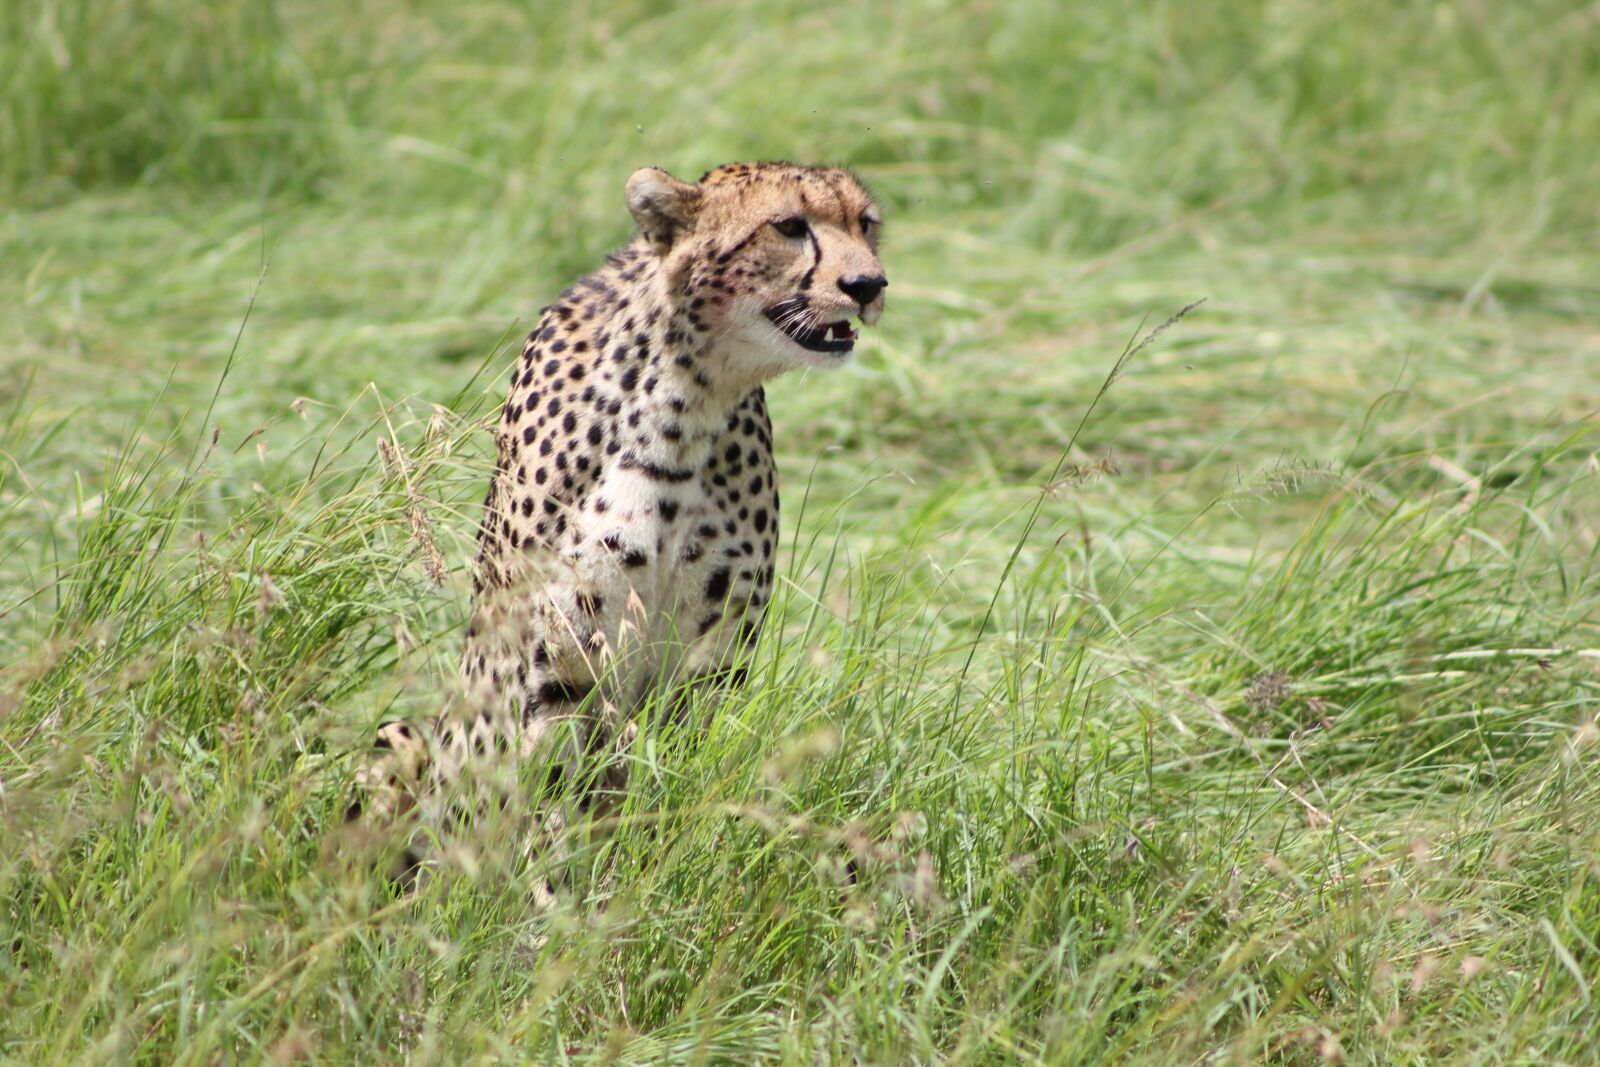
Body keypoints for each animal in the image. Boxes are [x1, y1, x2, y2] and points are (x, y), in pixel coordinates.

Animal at [348, 161, 888, 887]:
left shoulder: (708, 661)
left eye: (866, 223)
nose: (868, 285)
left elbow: (669, 779)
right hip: (405, 741)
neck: (686, 404)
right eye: (788, 226)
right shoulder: (562, 660)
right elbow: (553, 796)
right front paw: (553, 900)